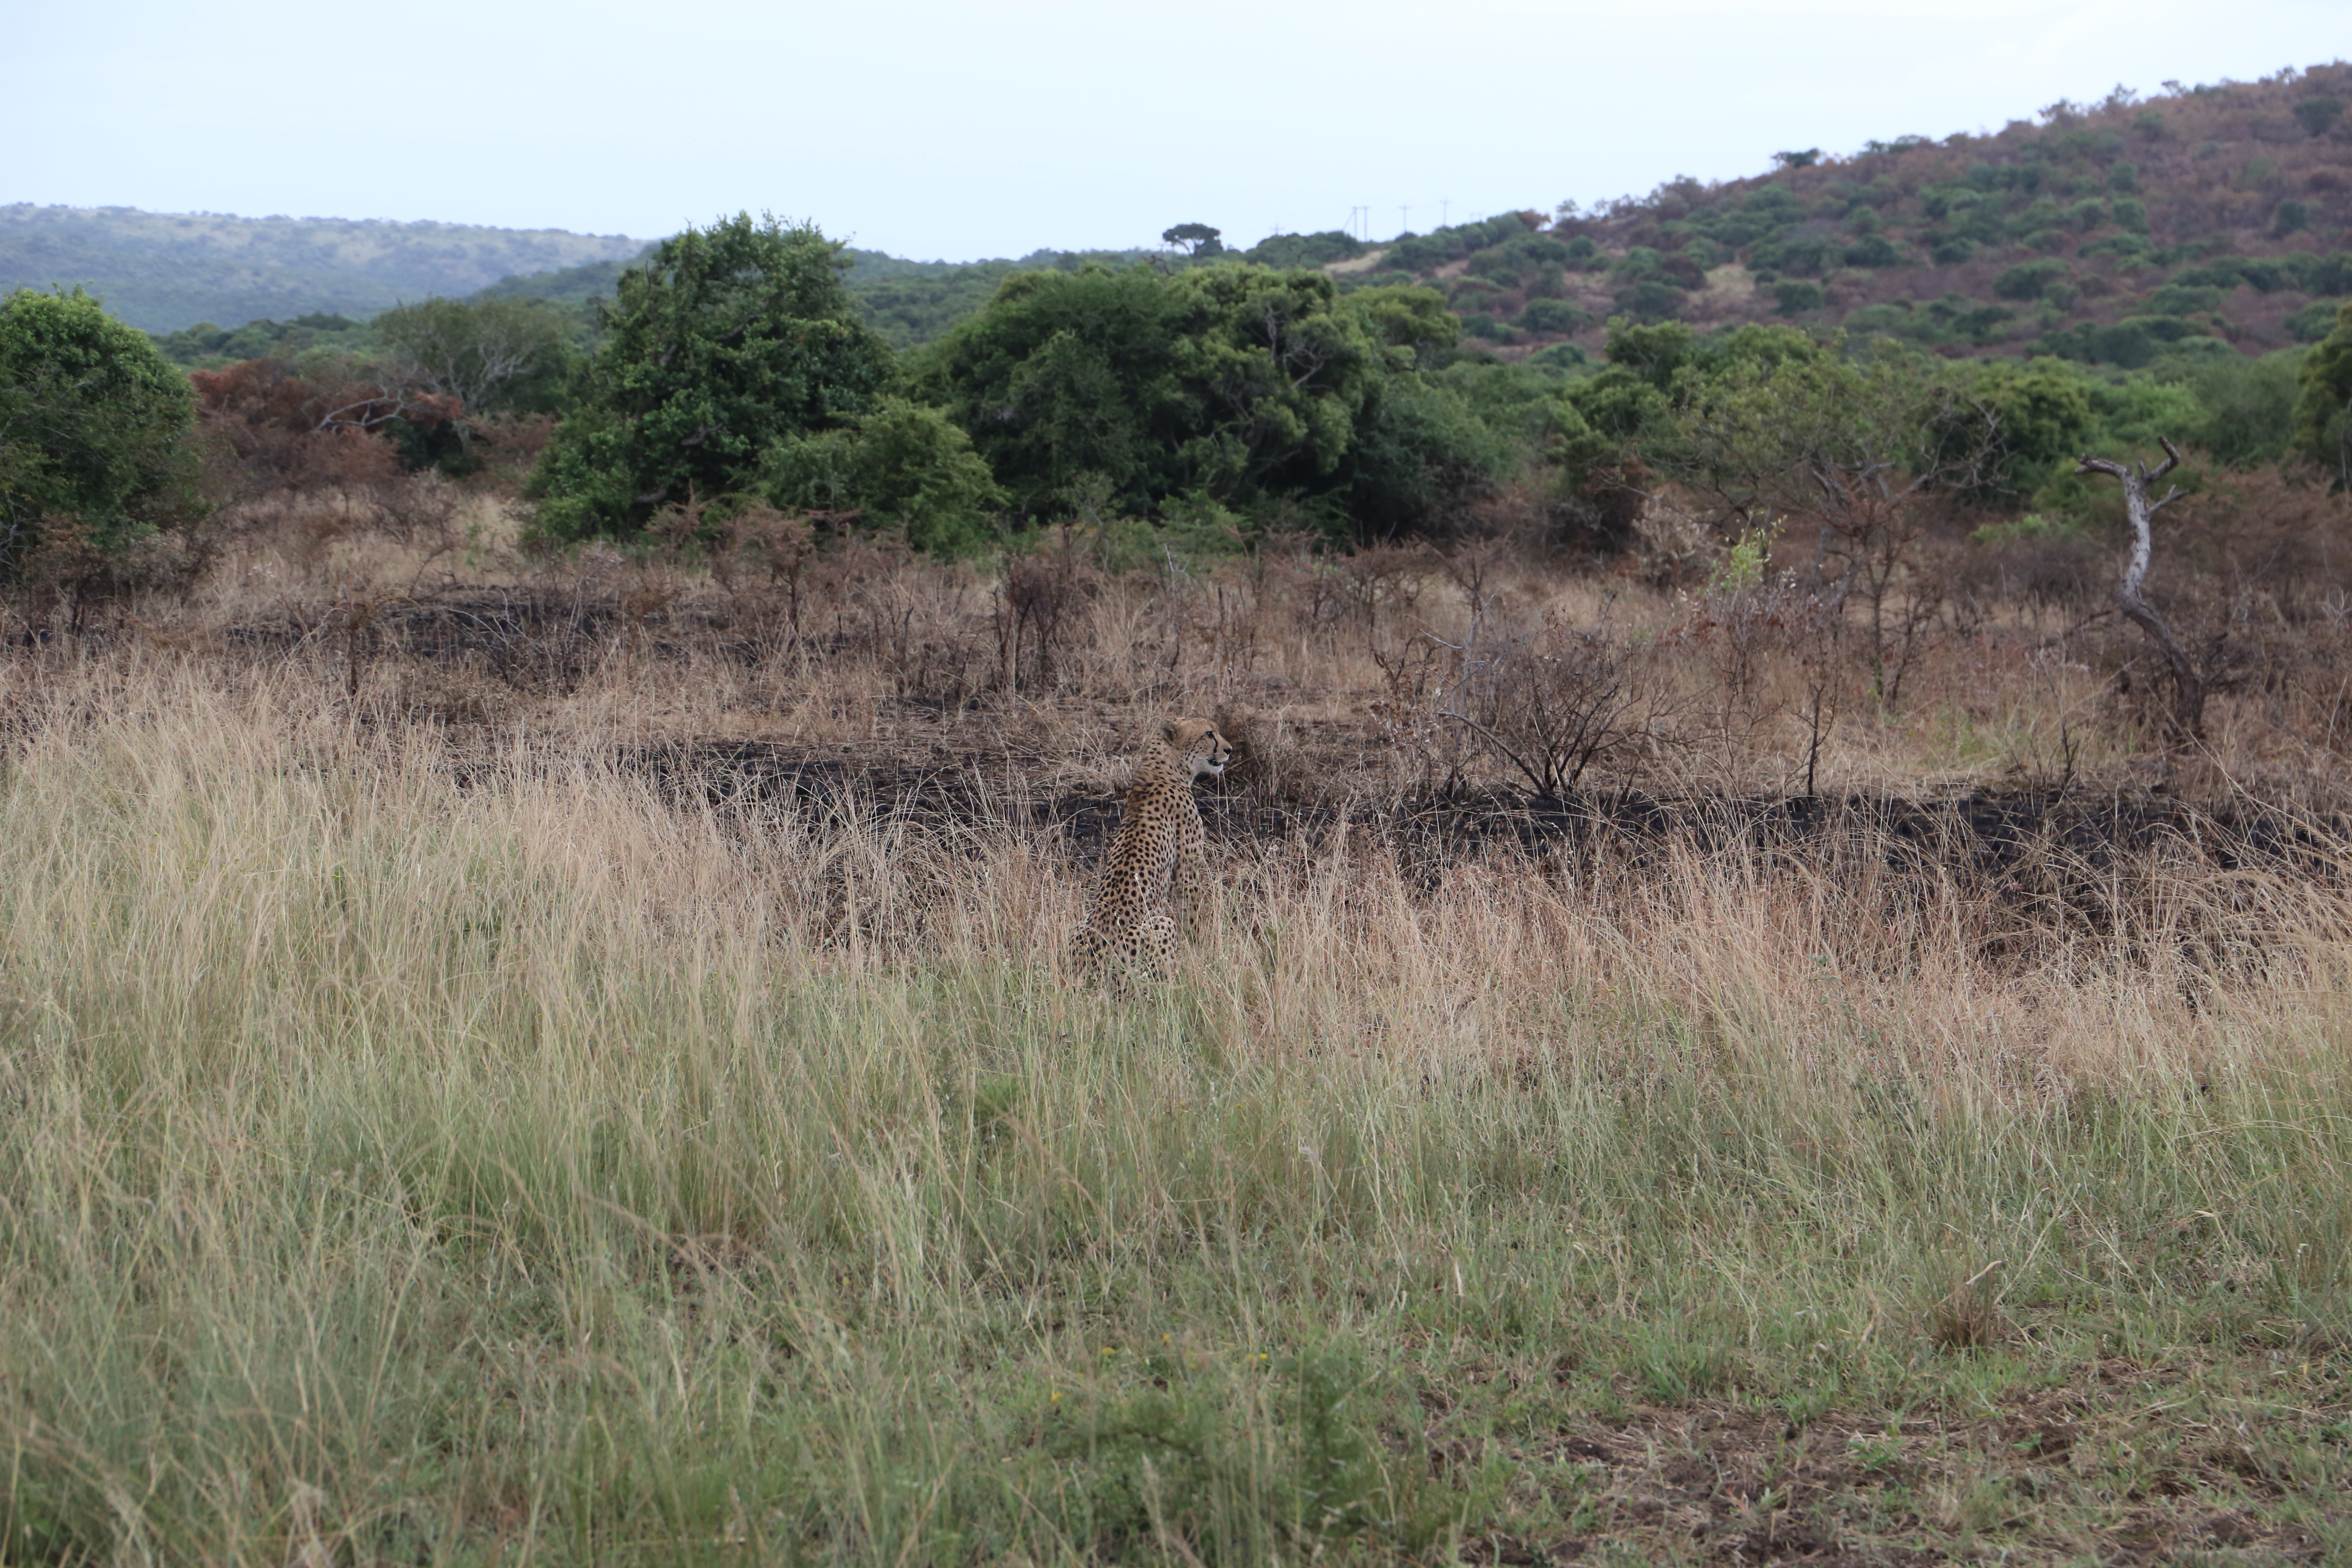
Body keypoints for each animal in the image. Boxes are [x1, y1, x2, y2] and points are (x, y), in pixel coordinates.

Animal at [1072, 717, 1234, 983]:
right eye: (1209, 734)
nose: (1229, 750)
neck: (1166, 767)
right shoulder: (1188, 871)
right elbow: (1192, 910)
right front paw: (1199, 950)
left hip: (1080, 924)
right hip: (1163, 923)